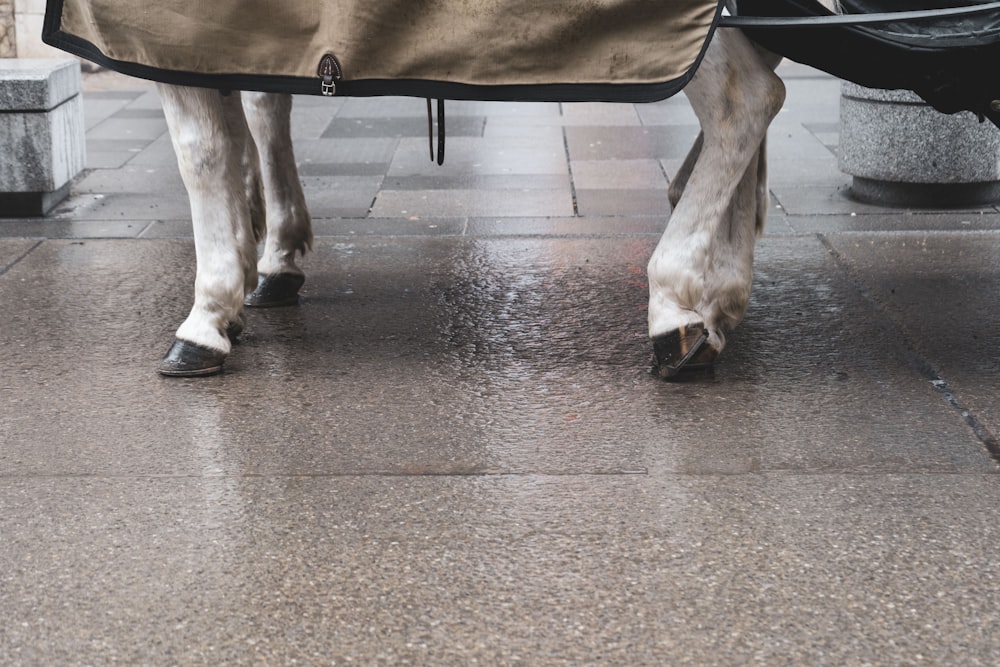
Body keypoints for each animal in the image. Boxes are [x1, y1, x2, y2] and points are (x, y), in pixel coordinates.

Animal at [152, 20, 784, 378]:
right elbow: (254, 109)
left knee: (745, 99)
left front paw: (207, 315)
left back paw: (674, 301)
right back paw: (721, 289)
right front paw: (265, 256)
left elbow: (202, 152)